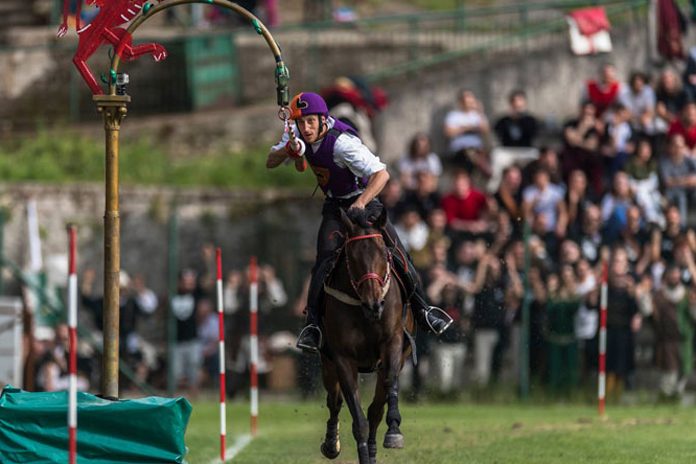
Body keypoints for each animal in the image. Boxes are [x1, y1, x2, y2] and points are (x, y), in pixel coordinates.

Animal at [320, 208, 414, 464]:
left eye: (383, 252)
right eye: (352, 257)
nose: (375, 304)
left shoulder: (393, 343)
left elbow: (389, 386)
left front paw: (394, 432)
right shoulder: (342, 358)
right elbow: (357, 418)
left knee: (375, 410)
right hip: (327, 363)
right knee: (334, 401)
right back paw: (331, 444)